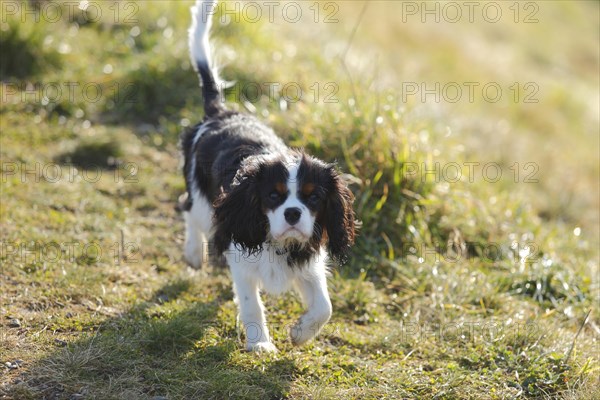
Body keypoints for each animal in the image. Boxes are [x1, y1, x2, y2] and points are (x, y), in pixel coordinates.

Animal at [180, 0, 354, 352]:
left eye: (314, 197)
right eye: (273, 195)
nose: (292, 213)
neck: (280, 242)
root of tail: (221, 113)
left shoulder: (309, 263)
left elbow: (324, 307)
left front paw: (301, 333)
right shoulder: (241, 257)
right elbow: (251, 303)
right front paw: (259, 343)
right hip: (207, 206)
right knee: (189, 209)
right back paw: (193, 254)